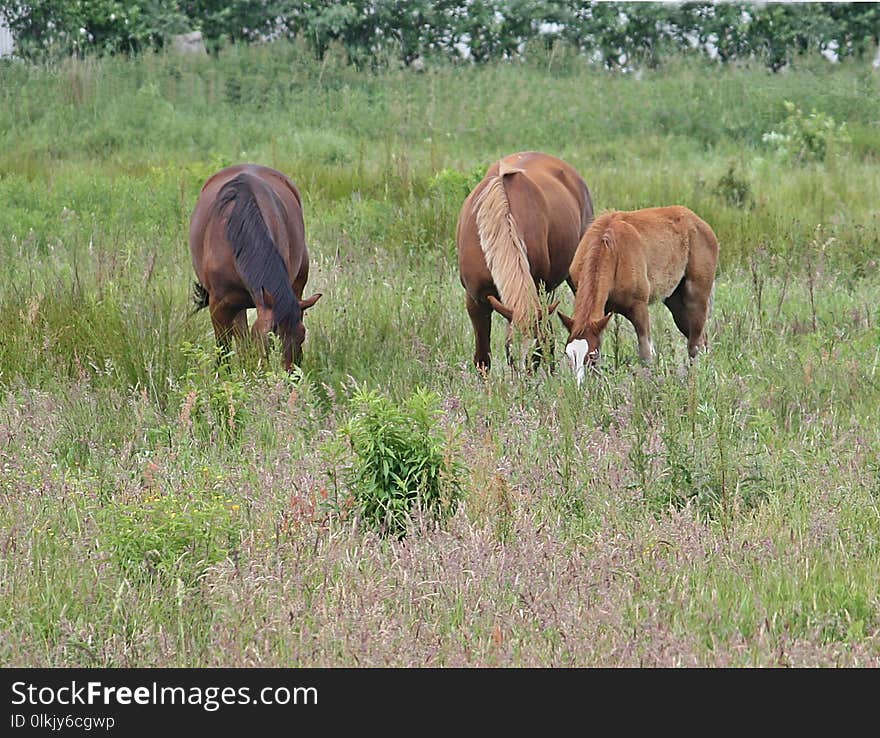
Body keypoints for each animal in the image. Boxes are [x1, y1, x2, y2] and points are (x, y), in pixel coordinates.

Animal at [458, 150, 596, 370]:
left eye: (533, 354)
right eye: (509, 352)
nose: (523, 377)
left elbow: (546, 341)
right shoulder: (475, 301)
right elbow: (482, 358)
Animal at [560, 204, 720, 382]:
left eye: (591, 356)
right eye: (568, 355)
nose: (579, 384)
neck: (612, 249)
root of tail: (699, 222)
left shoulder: (639, 307)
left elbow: (646, 354)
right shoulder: (601, 313)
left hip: (697, 296)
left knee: (695, 345)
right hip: (676, 302)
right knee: (701, 339)